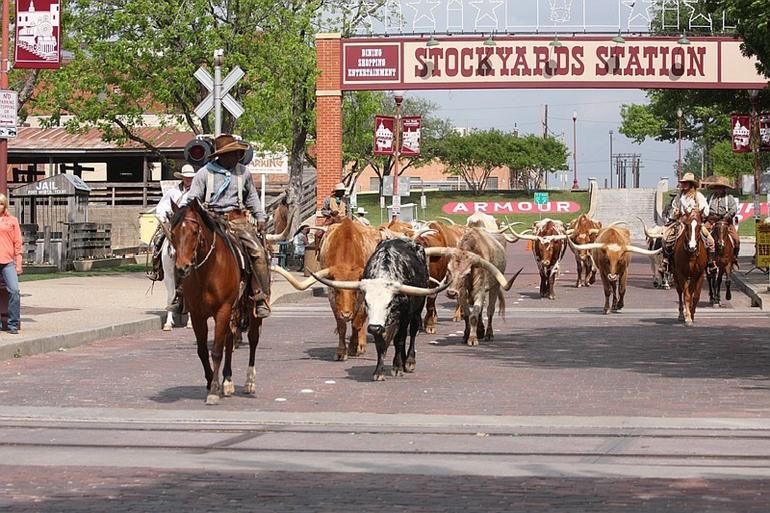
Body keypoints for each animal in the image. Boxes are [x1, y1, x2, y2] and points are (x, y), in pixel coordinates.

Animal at [167, 200, 262, 404]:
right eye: (173, 232)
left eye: (195, 231)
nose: (182, 268)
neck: (207, 271)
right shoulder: (197, 315)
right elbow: (203, 350)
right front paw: (213, 382)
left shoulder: (222, 310)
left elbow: (216, 350)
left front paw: (213, 391)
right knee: (229, 341)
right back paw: (228, 381)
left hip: (251, 311)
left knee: (253, 340)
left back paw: (250, 382)